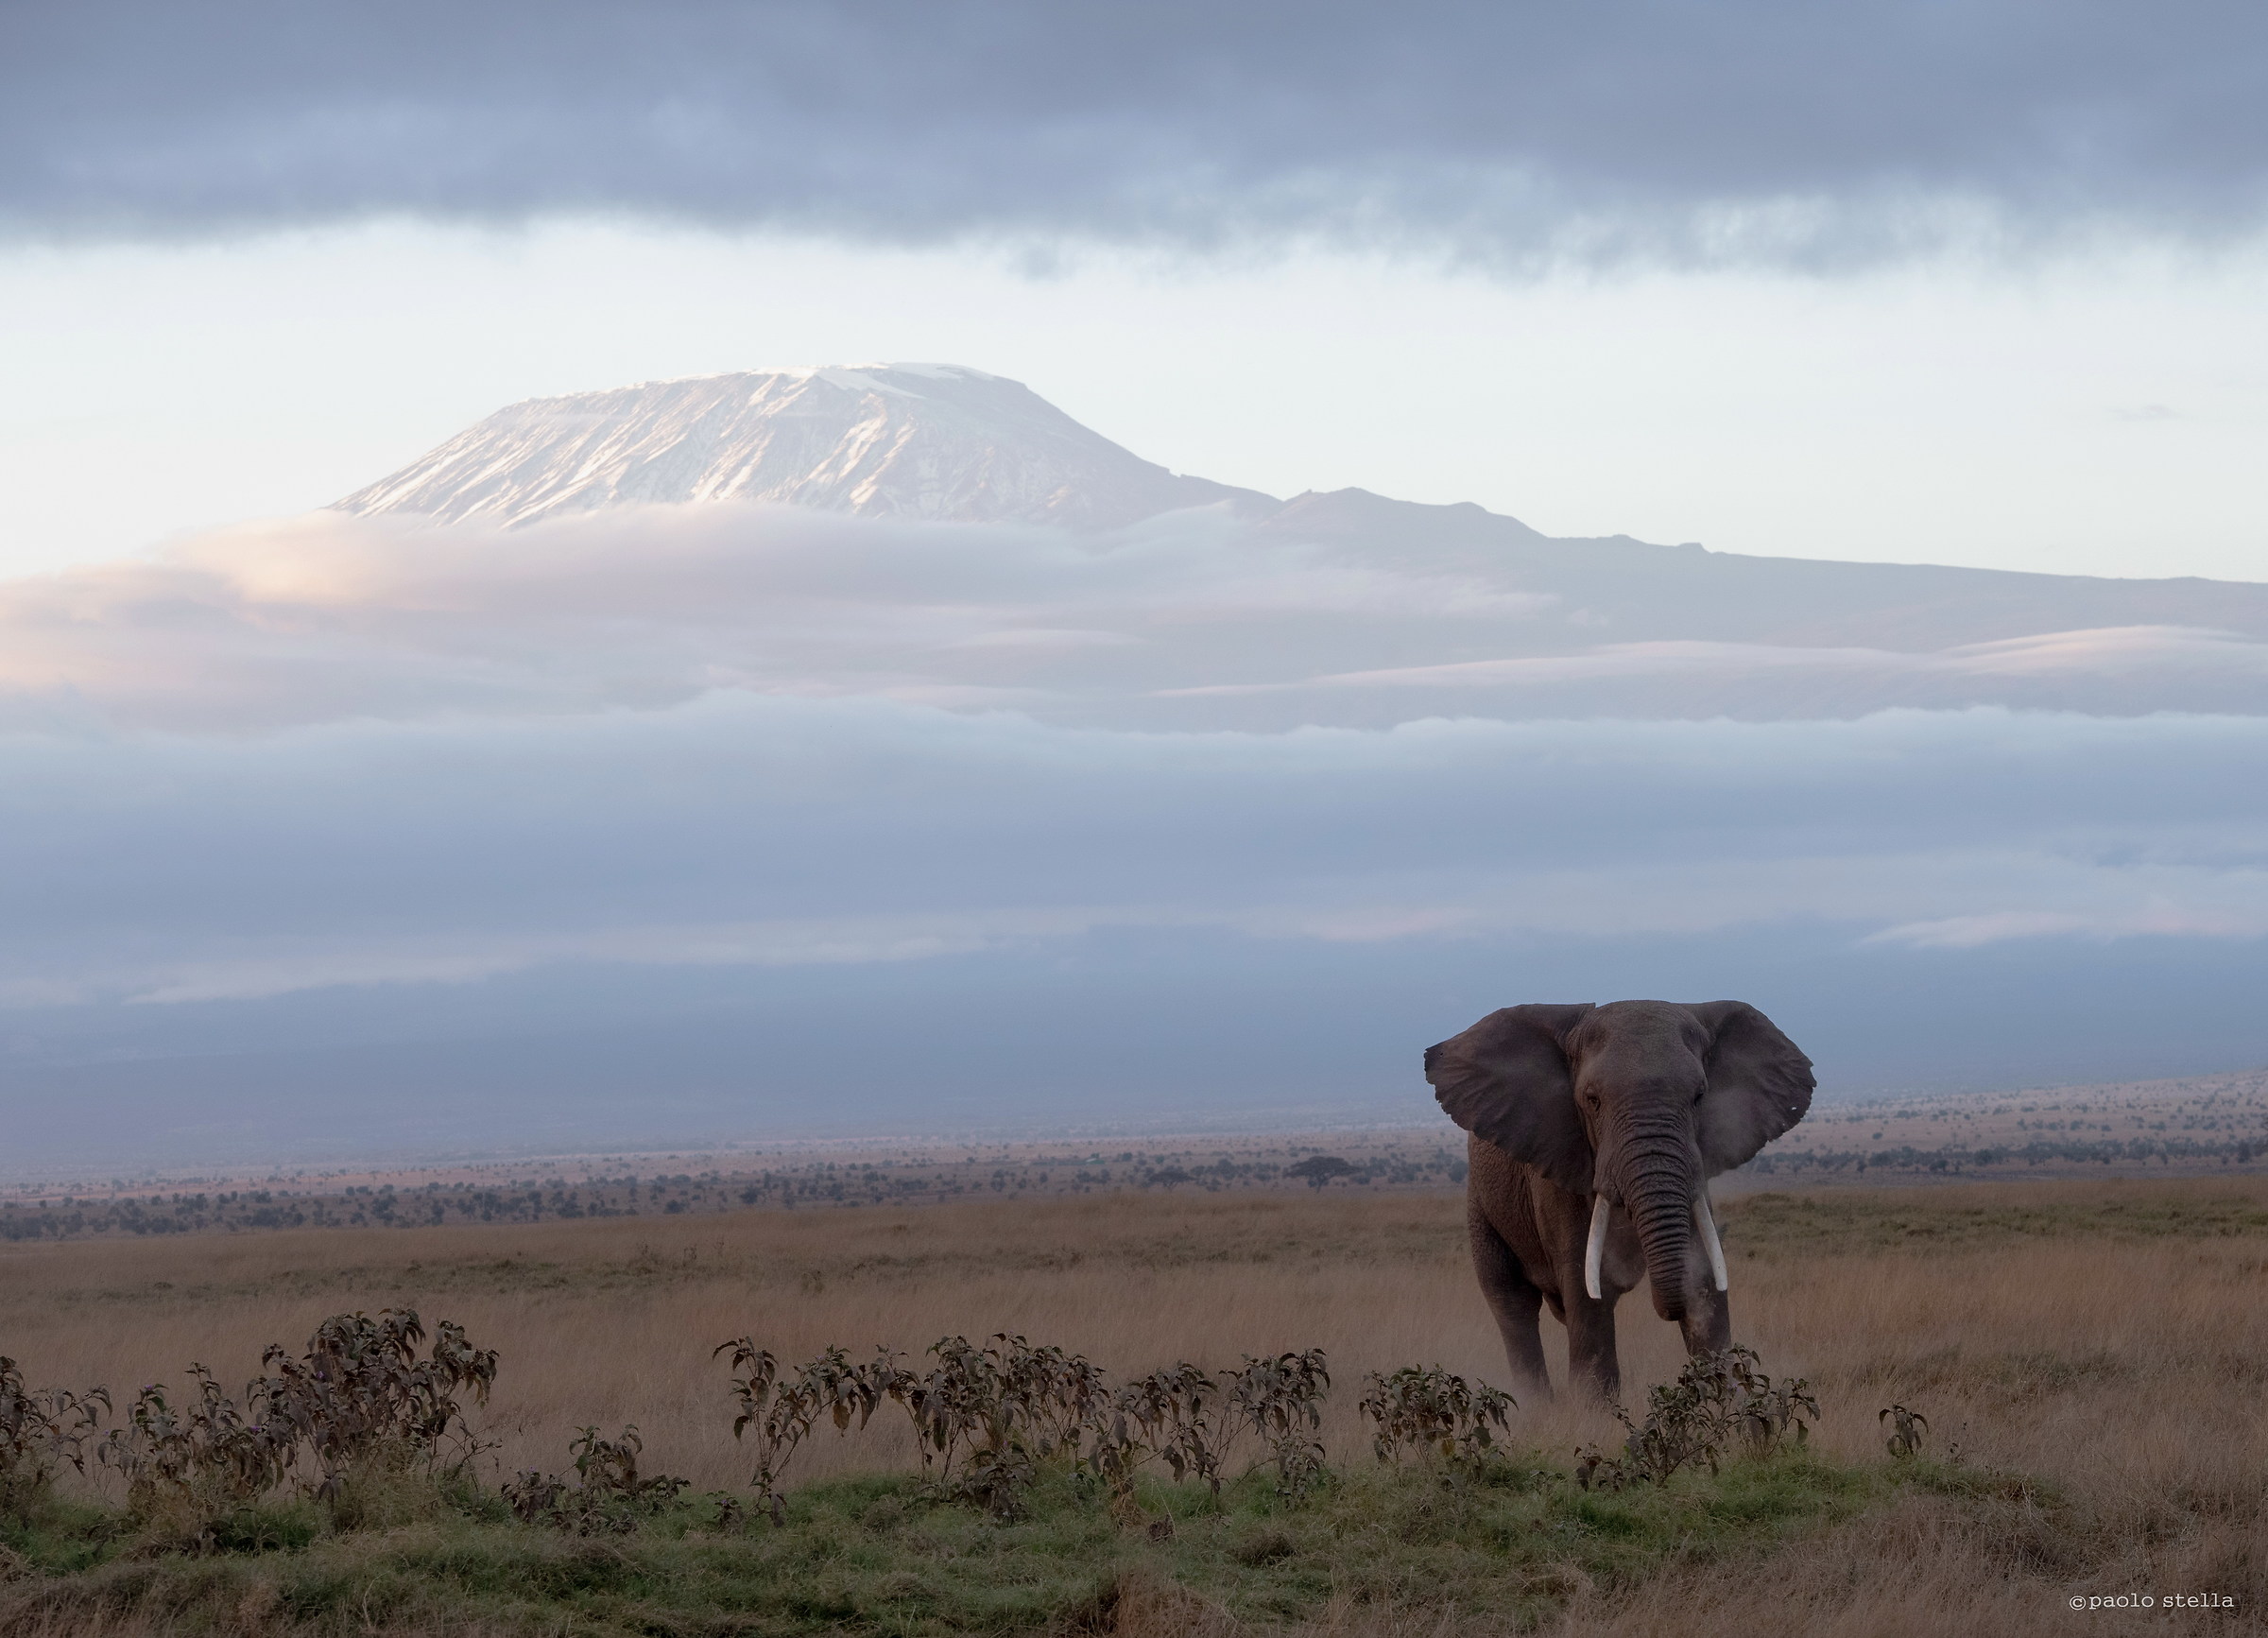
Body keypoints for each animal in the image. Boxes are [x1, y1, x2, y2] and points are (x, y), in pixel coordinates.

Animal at [1423, 1000, 1813, 1403]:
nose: (1669, 1309)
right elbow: (1585, 1287)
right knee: (1512, 1302)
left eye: (1699, 1097)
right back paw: (1536, 1407)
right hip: (1483, 1204)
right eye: (1592, 1100)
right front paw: (1592, 1409)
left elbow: (1705, 1270)